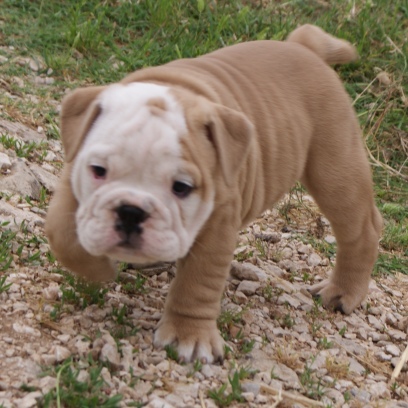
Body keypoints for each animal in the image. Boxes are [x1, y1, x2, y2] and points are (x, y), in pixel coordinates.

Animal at [45, 24, 382, 364]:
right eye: (98, 170)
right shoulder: (72, 178)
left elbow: (196, 282)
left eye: (181, 188)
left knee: (361, 230)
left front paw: (189, 336)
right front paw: (98, 269)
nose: (131, 211)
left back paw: (343, 292)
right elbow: (61, 234)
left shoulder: (217, 225)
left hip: (335, 170)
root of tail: (305, 47)